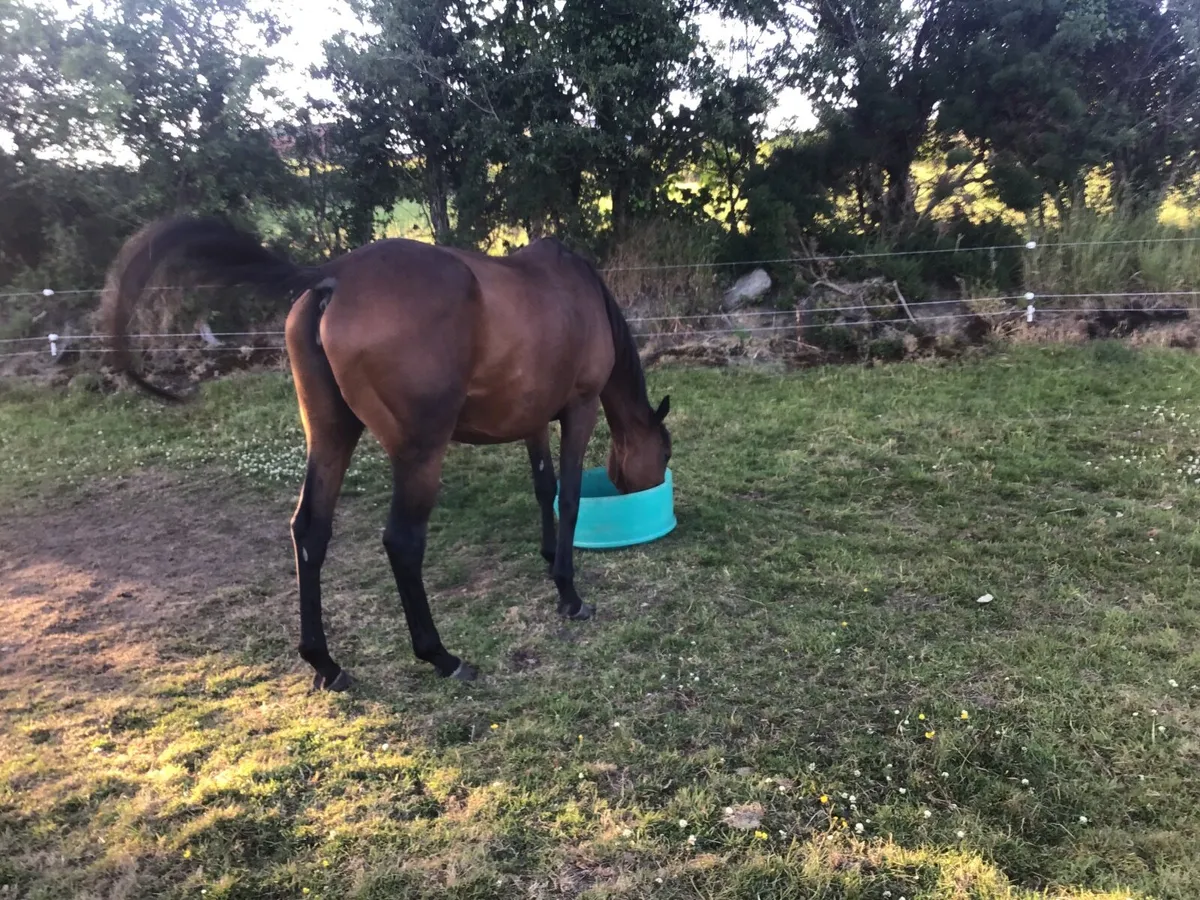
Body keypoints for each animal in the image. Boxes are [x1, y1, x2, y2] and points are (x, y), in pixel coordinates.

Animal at [98, 217, 672, 691]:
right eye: (664, 456)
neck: (576, 290)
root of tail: (333, 276)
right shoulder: (578, 408)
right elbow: (569, 497)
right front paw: (568, 594)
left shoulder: (532, 418)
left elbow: (543, 487)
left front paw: (550, 555)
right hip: (420, 454)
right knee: (402, 542)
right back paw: (441, 657)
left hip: (331, 435)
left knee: (310, 531)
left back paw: (326, 664)